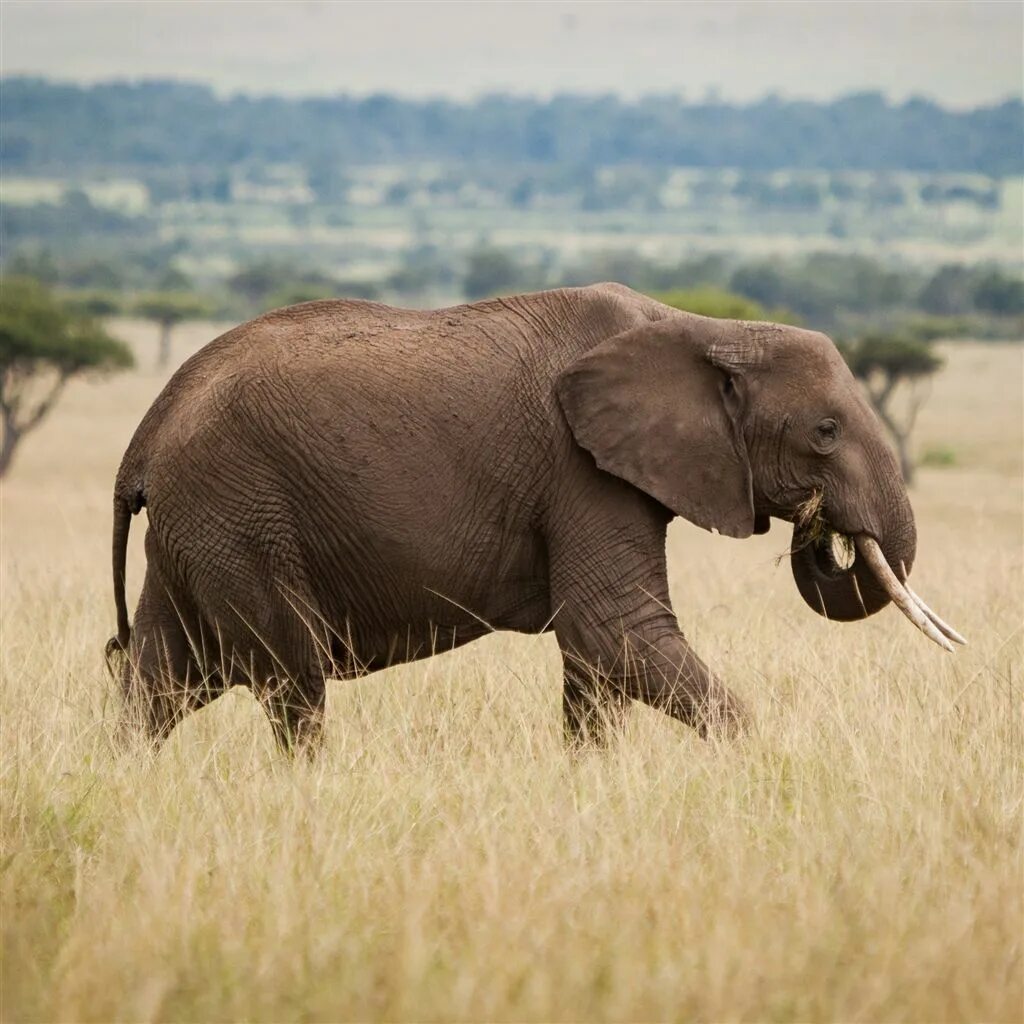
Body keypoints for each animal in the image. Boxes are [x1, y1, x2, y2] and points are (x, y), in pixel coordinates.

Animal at [103, 282, 958, 753]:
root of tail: (145, 433)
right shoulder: (580, 469)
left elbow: (596, 659)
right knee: (291, 677)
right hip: (239, 509)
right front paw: (762, 765)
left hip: (204, 521)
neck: (702, 328)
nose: (821, 531)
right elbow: (615, 630)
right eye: (826, 432)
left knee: (166, 676)